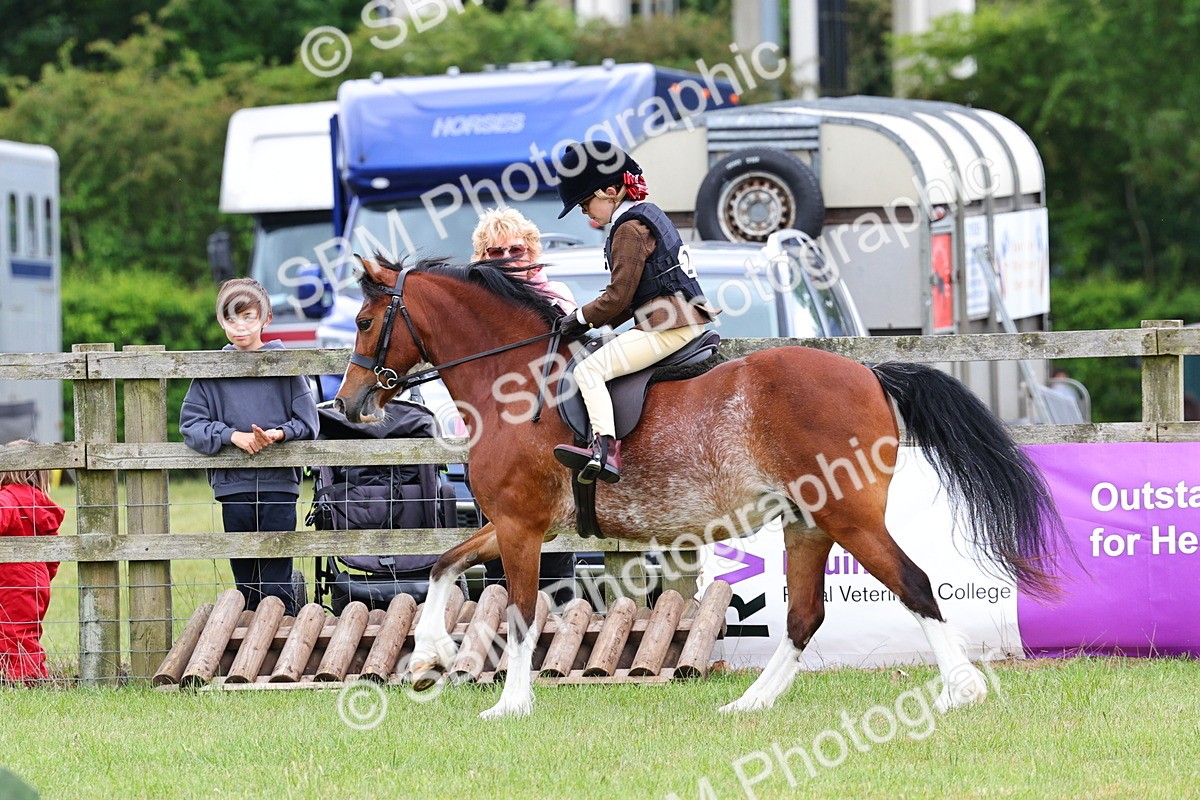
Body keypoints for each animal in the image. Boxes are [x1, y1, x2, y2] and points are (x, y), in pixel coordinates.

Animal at [334, 256, 1066, 720]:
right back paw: (750, 702)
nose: (348, 403)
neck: (513, 383)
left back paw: (961, 691)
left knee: (913, 584)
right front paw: (430, 652)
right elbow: (442, 564)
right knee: (805, 616)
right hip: (807, 523)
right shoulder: (516, 523)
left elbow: (517, 610)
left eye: (366, 323)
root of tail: (870, 374)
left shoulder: (521, 526)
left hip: (849, 518)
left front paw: (510, 704)